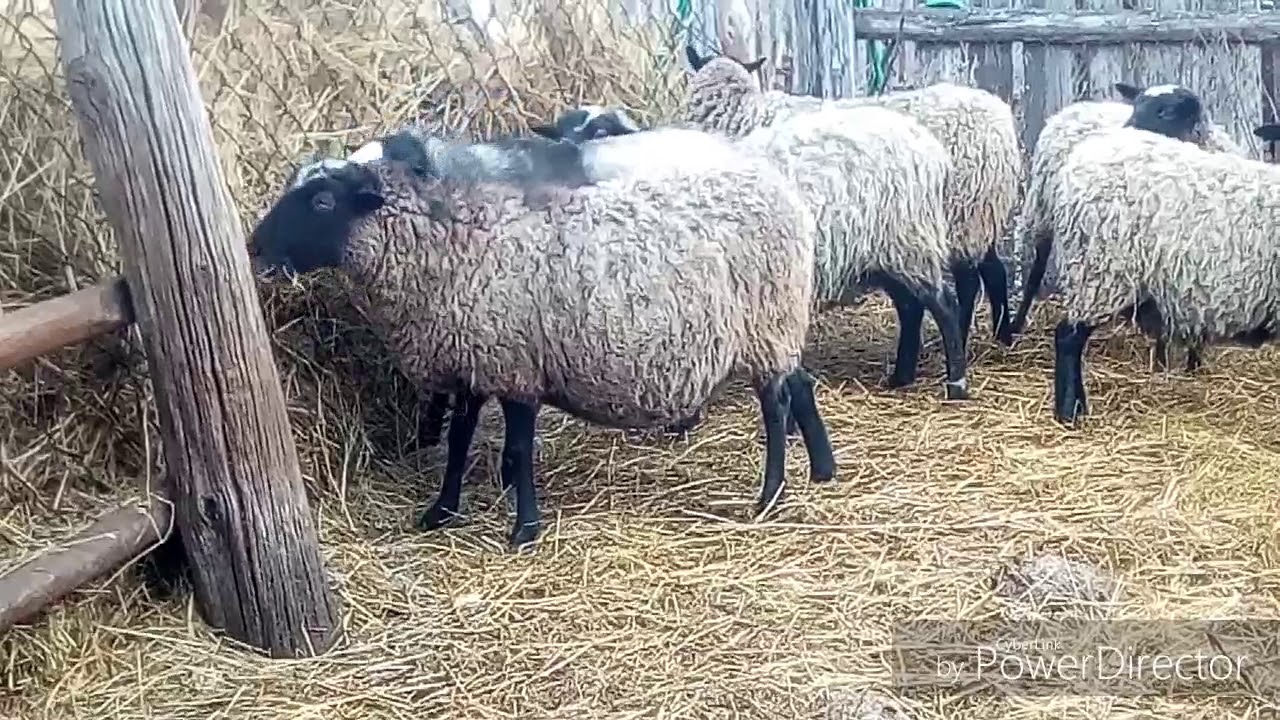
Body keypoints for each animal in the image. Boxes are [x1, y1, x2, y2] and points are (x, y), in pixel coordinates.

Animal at [248, 147, 837, 548]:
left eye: (322, 200)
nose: (253, 247)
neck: (454, 247)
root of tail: (787, 195)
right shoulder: (474, 360)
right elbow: (458, 443)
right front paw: (441, 512)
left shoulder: (515, 367)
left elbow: (516, 451)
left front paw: (524, 529)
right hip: (779, 329)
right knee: (800, 384)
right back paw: (822, 471)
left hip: (765, 325)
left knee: (777, 404)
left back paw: (770, 495)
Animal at [683, 46, 1021, 348]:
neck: (745, 114)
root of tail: (1001, 116)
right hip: (978, 214)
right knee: (994, 270)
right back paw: (1003, 334)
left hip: (964, 216)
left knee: (968, 282)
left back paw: (963, 339)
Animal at [1002, 81, 1250, 374]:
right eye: (1137, 104)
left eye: (1166, 111)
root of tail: (1079, 106)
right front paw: (1163, 366)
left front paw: (1192, 366)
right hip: (1046, 211)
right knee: (1034, 274)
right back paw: (1013, 329)